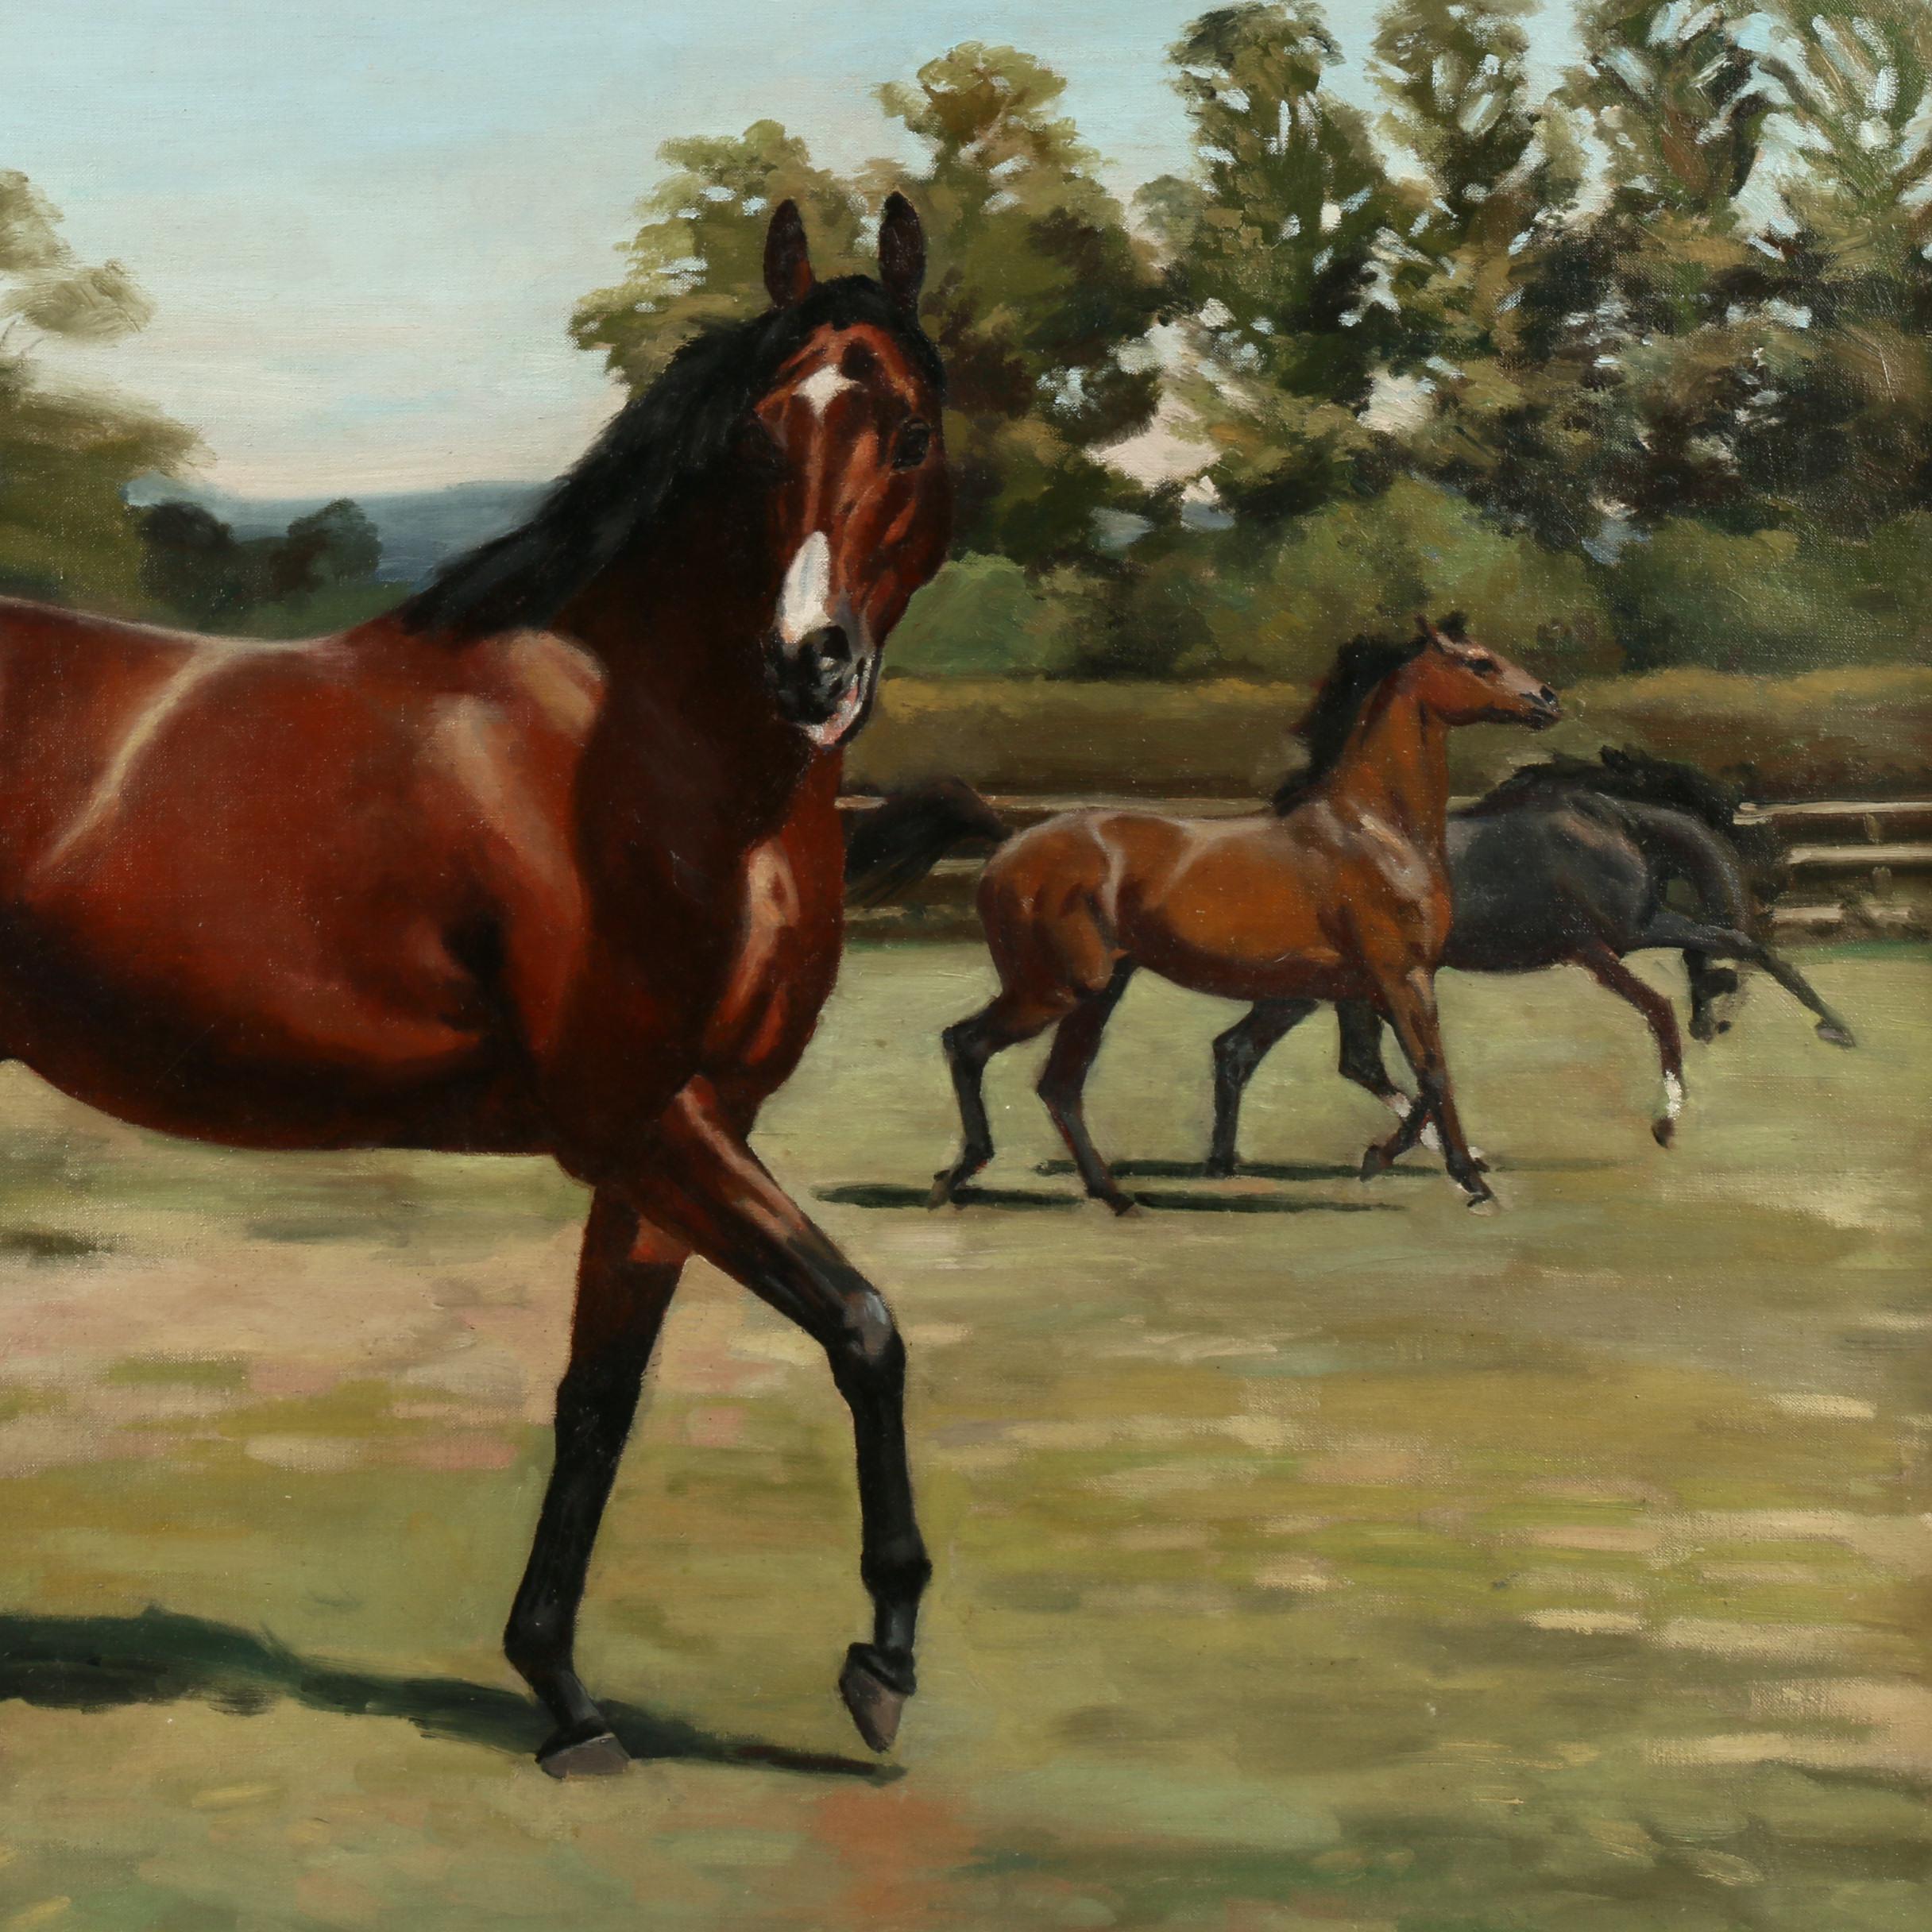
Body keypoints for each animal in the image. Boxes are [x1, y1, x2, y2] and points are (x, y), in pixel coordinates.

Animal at [0, 196, 952, 1777]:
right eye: (761, 440)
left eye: (915, 432)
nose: (810, 667)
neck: (633, 752)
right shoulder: (635, 1115)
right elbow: (864, 1326)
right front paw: (881, 1657)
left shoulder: (688, 1135)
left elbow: (599, 1401)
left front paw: (564, 1697)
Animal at [925, 617, 1560, 1215]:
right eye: (1479, 662)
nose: (1548, 699)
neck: (1378, 830)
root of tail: (1008, 846)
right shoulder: (1402, 978)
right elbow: (1432, 1072)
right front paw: (1450, 1176)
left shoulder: (1360, 989)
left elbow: (1391, 1071)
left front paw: (1434, 1167)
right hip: (1056, 987)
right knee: (967, 1043)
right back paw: (959, 1176)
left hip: (1100, 991)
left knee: (1059, 1085)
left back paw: (1114, 1196)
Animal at [1199, 747, 1857, 1169]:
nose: (1713, 1024)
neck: (1610, 822)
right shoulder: (1614, 941)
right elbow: (1689, 988)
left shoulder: (1601, 947)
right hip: (1321, 987)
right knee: (1307, 1057)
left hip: (1324, 988)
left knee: (1271, 1054)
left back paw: (1232, 1159)